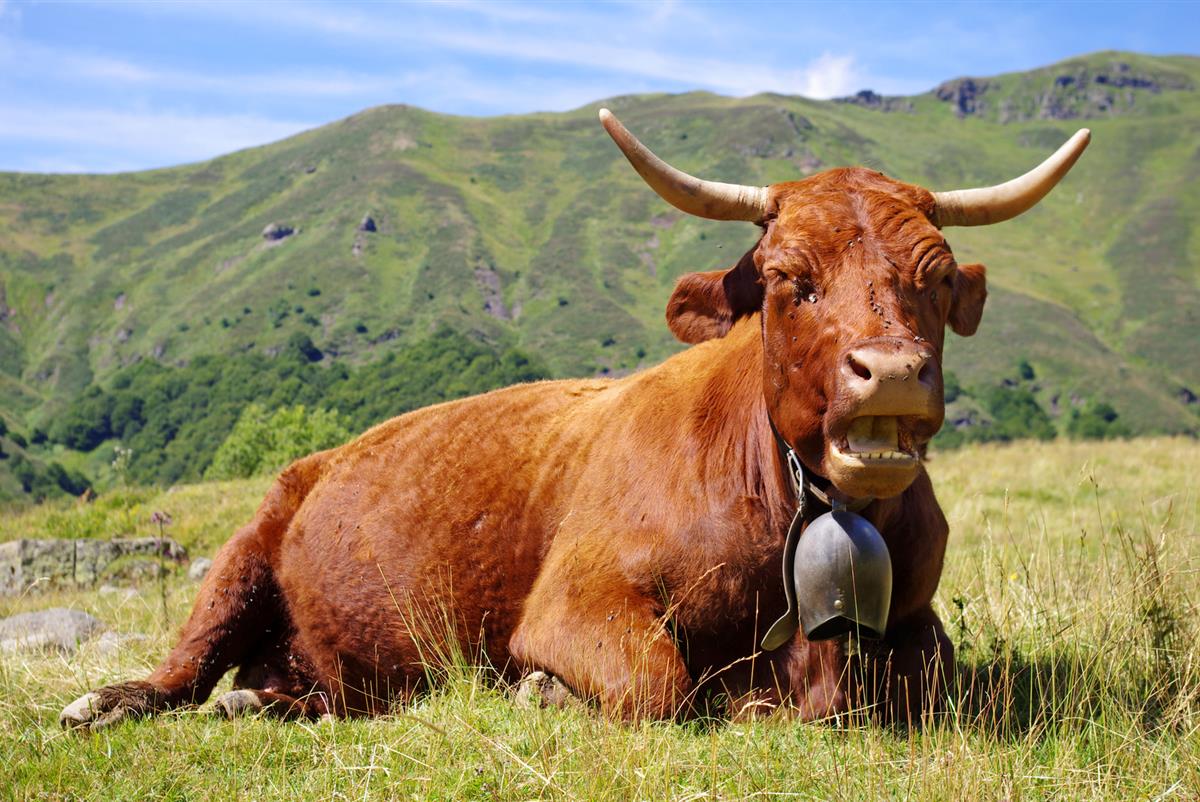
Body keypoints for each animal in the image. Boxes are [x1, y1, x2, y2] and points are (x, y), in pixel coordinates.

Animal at [60, 110, 1089, 730]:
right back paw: (110, 703)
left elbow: (932, 674)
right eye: (788, 277)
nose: (894, 374)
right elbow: (659, 684)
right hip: (245, 547)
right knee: (186, 669)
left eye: (939, 279)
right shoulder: (575, 599)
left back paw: (264, 706)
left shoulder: (919, 616)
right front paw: (542, 690)